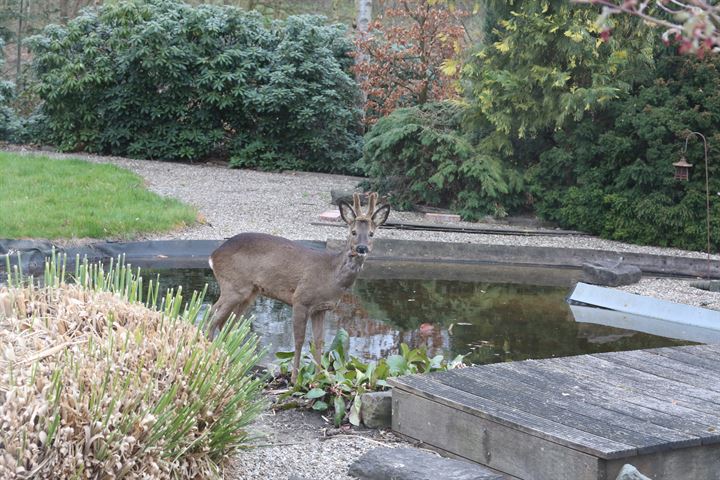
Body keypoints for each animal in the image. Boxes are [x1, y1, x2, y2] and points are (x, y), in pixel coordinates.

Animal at [205, 191, 390, 382]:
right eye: (353, 232)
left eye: (372, 234)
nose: (361, 248)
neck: (330, 275)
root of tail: (213, 256)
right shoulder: (301, 299)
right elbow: (299, 340)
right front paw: (294, 378)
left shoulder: (320, 309)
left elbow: (319, 341)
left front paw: (318, 378)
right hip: (233, 286)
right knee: (213, 316)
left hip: (249, 293)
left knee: (227, 322)